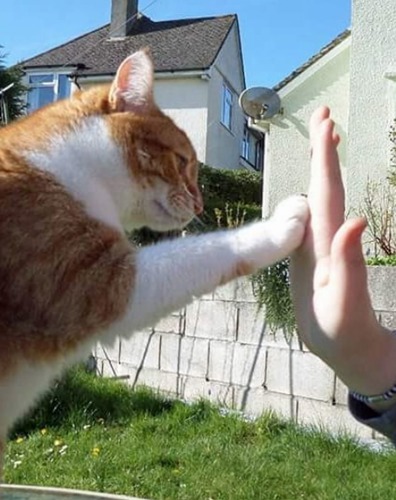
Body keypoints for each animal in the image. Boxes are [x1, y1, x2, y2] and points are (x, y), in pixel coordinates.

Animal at [0, 47, 310, 472]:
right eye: (180, 161)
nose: (200, 204)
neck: (66, 167)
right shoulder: (102, 282)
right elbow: (207, 249)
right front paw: (285, 220)